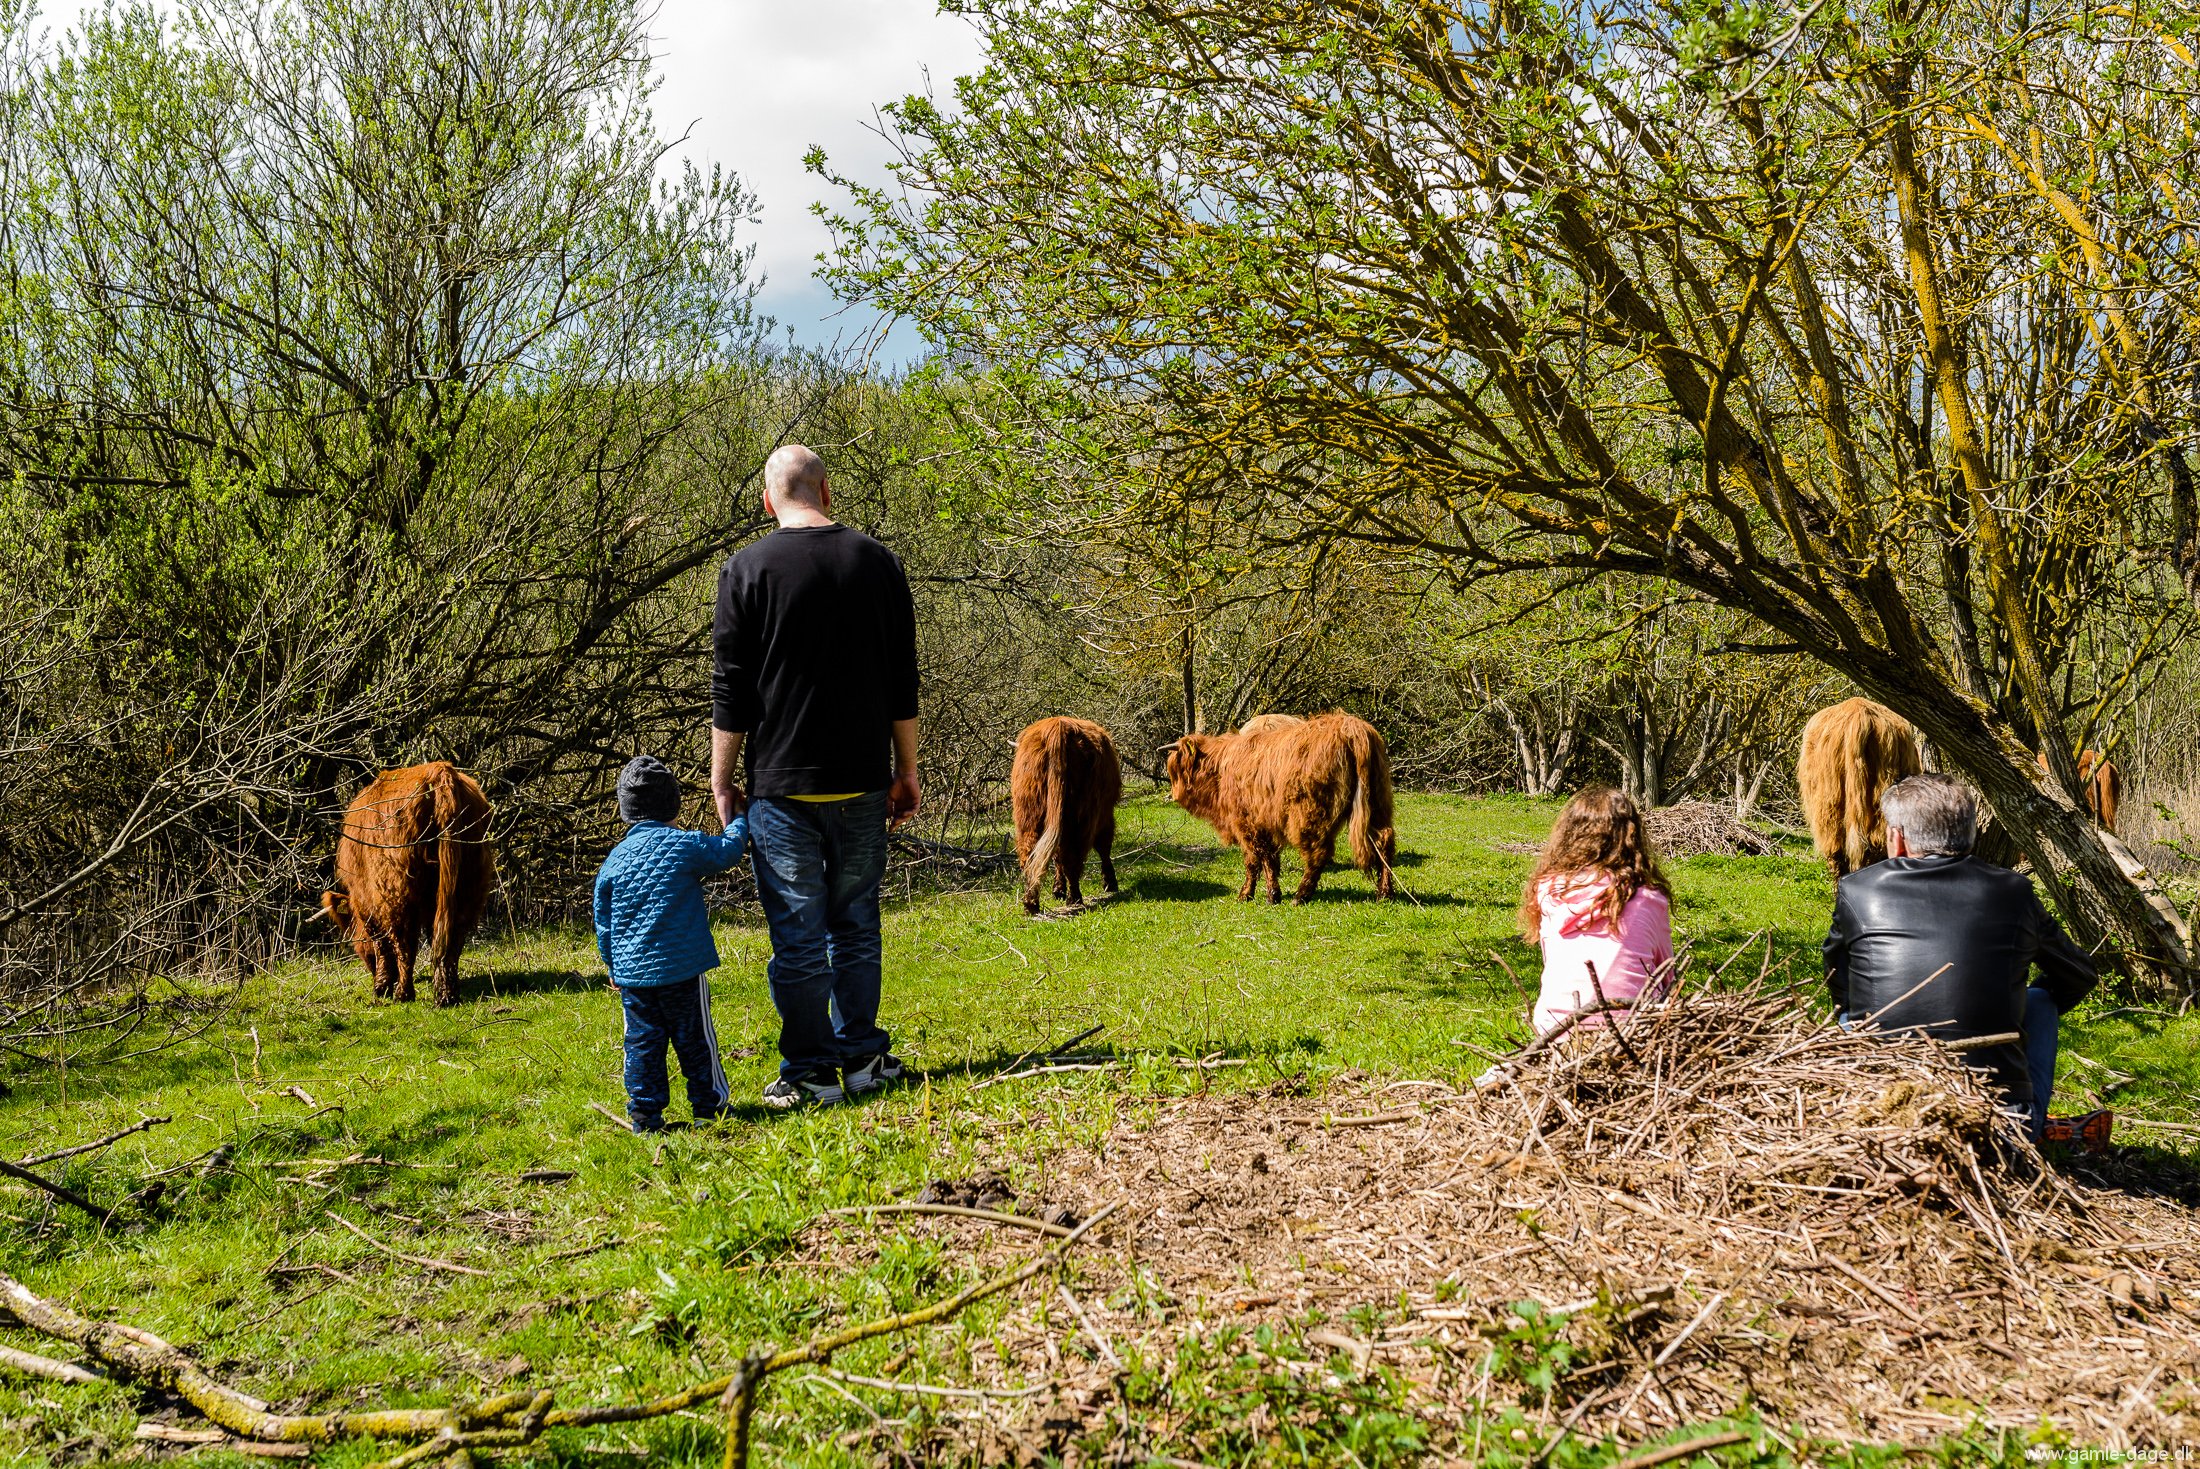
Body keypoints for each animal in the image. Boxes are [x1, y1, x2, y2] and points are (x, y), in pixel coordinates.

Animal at [1007, 716, 1126, 910]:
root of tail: (1057, 727)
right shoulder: (1105, 814)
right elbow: (1103, 846)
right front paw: (1110, 883)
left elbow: (1055, 855)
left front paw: (1058, 889)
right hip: (1082, 814)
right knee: (1073, 854)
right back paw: (1075, 897)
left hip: (1028, 812)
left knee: (1030, 852)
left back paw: (1031, 903)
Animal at [1170, 708, 1390, 901]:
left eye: (1175, 770)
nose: (1173, 795)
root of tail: (1352, 728)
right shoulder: (1264, 822)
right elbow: (1268, 859)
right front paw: (1267, 893)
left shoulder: (1247, 822)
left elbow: (1256, 859)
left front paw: (1256, 894)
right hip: (1377, 800)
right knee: (1384, 841)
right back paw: (1385, 894)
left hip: (1310, 813)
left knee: (1318, 853)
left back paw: (1301, 896)